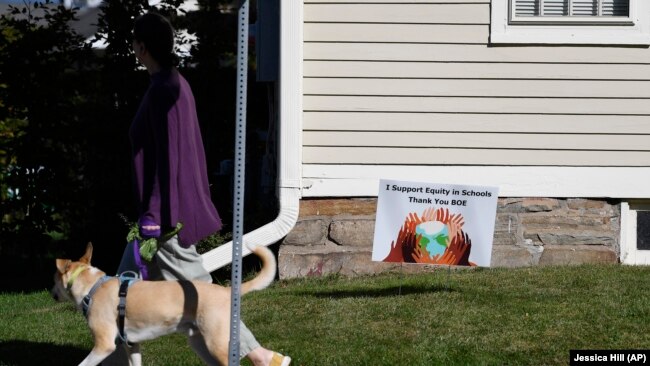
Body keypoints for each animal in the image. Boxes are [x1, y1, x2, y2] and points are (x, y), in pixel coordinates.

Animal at [50, 243, 274, 366]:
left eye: (54, 279)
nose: (51, 293)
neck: (93, 286)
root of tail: (227, 291)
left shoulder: (104, 345)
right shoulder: (132, 345)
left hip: (216, 343)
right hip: (200, 343)